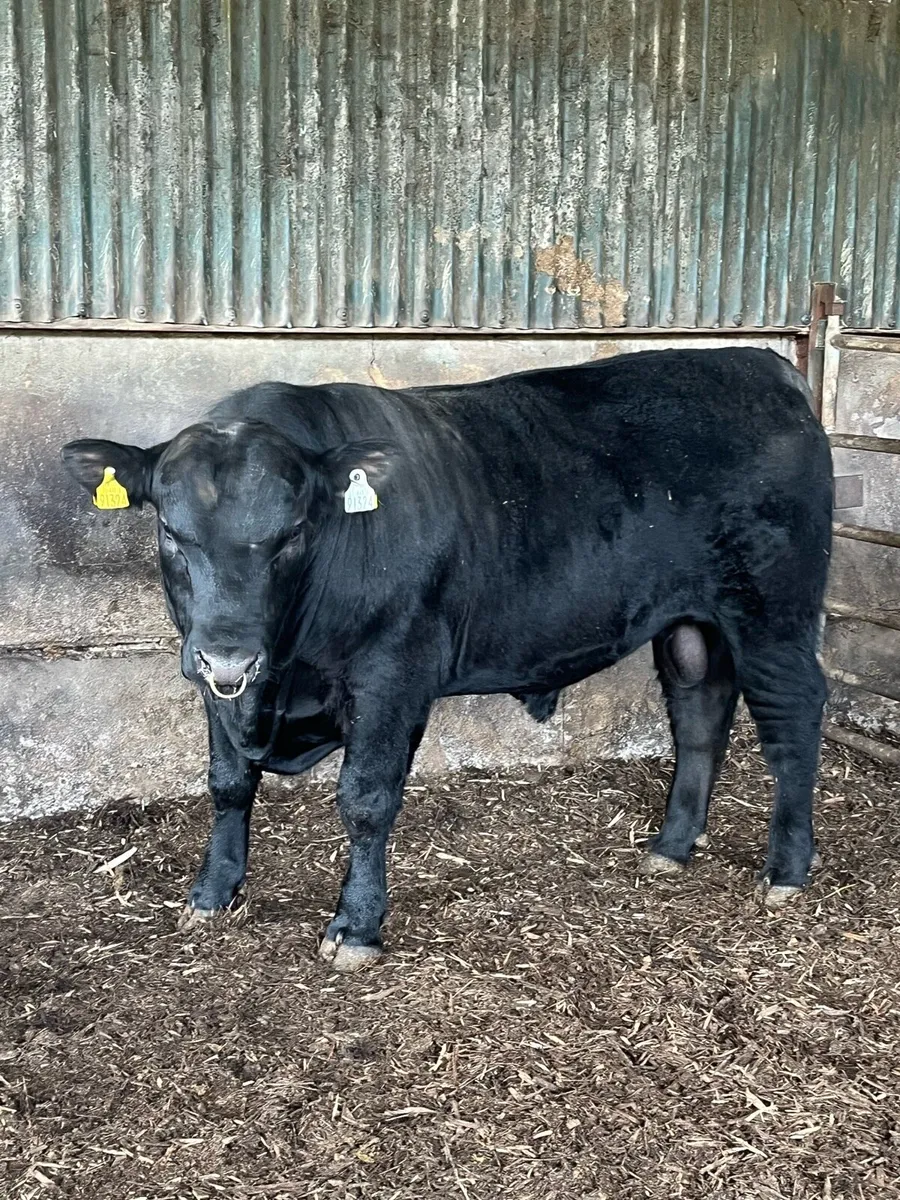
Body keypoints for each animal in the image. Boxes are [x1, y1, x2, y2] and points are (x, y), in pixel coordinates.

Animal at [62, 348, 832, 971]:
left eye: (295, 532)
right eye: (170, 529)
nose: (230, 653)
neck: (283, 675)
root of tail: (766, 365)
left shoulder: (391, 673)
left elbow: (365, 799)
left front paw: (356, 928)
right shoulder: (212, 682)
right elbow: (227, 784)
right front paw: (213, 892)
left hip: (775, 611)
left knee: (793, 716)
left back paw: (786, 869)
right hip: (691, 619)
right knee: (701, 710)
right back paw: (670, 848)